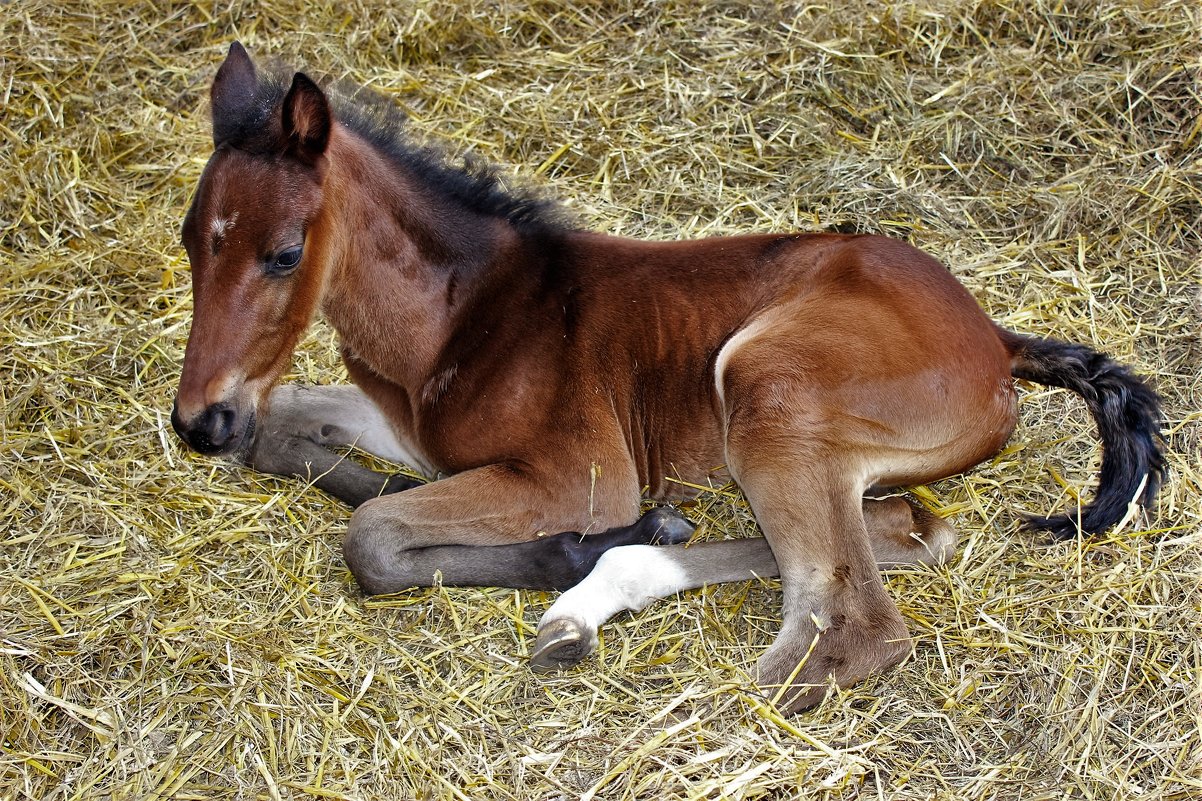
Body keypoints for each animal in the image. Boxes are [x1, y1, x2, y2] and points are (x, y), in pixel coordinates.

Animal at [171, 43, 1163, 707]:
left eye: (284, 252)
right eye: (188, 240)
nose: (196, 422)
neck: (465, 313)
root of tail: (995, 338)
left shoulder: (579, 473)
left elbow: (373, 537)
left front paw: (565, 545)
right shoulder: (400, 423)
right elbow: (285, 435)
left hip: (765, 383)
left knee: (851, 621)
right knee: (904, 529)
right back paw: (603, 589)